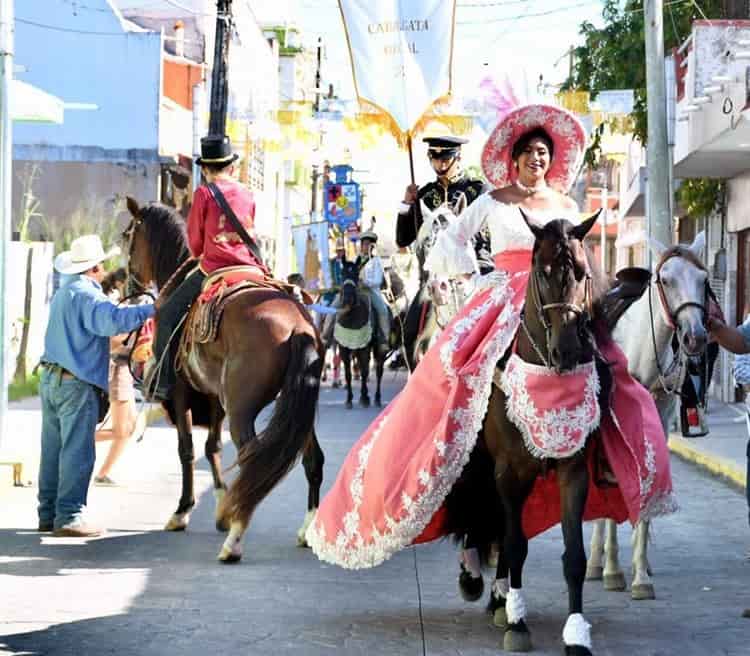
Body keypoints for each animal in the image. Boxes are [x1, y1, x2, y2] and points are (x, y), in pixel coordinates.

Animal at [122, 200, 324, 564]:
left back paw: (234, 541)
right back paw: (306, 530)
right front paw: (219, 507)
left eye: (128, 236)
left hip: (242, 410)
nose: (128, 287)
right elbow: (212, 446)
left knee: (251, 460)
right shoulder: (215, 396)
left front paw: (183, 511)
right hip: (298, 409)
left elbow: (187, 449)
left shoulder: (182, 393)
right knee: (312, 460)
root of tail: (297, 325)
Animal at [444, 213, 608, 652]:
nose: (566, 351)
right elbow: (515, 543)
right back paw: (479, 581)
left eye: (583, 273)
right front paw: (518, 624)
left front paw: (576, 634)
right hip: (482, 461)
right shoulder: (508, 470)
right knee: (482, 506)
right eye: (542, 270)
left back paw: (500, 596)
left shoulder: (573, 471)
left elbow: (574, 556)